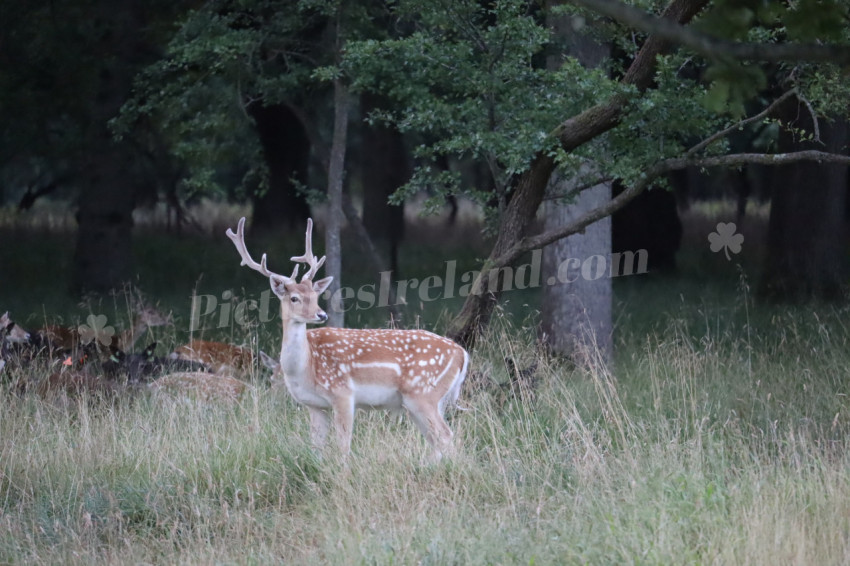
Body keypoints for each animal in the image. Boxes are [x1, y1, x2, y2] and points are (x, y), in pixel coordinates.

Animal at [225, 220, 468, 464]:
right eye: (294, 298)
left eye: (315, 296)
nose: (321, 314)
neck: (305, 368)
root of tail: (462, 354)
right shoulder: (314, 405)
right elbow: (316, 447)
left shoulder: (342, 393)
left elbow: (343, 446)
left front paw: (342, 470)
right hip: (424, 401)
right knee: (437, 441)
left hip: (422, 393)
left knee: (446, 436)